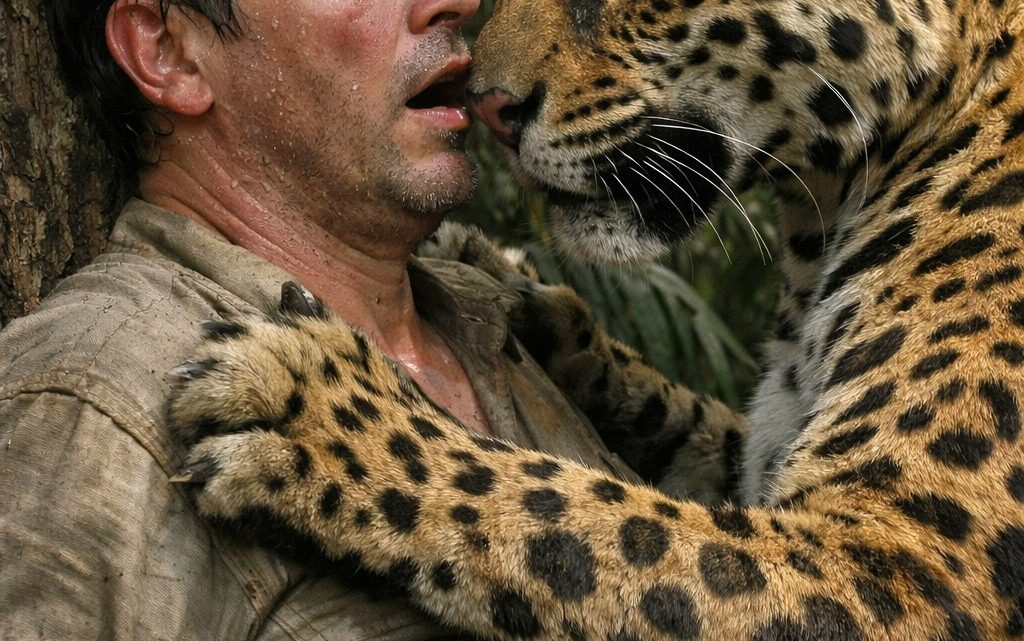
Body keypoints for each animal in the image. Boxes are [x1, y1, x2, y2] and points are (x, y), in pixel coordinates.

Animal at [164, 0, 1024, 638]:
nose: (487, 105)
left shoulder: (904, 558)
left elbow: (591, 516)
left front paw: (323, 411)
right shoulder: (762, 449)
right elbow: (690, 424)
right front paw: (517, 288)